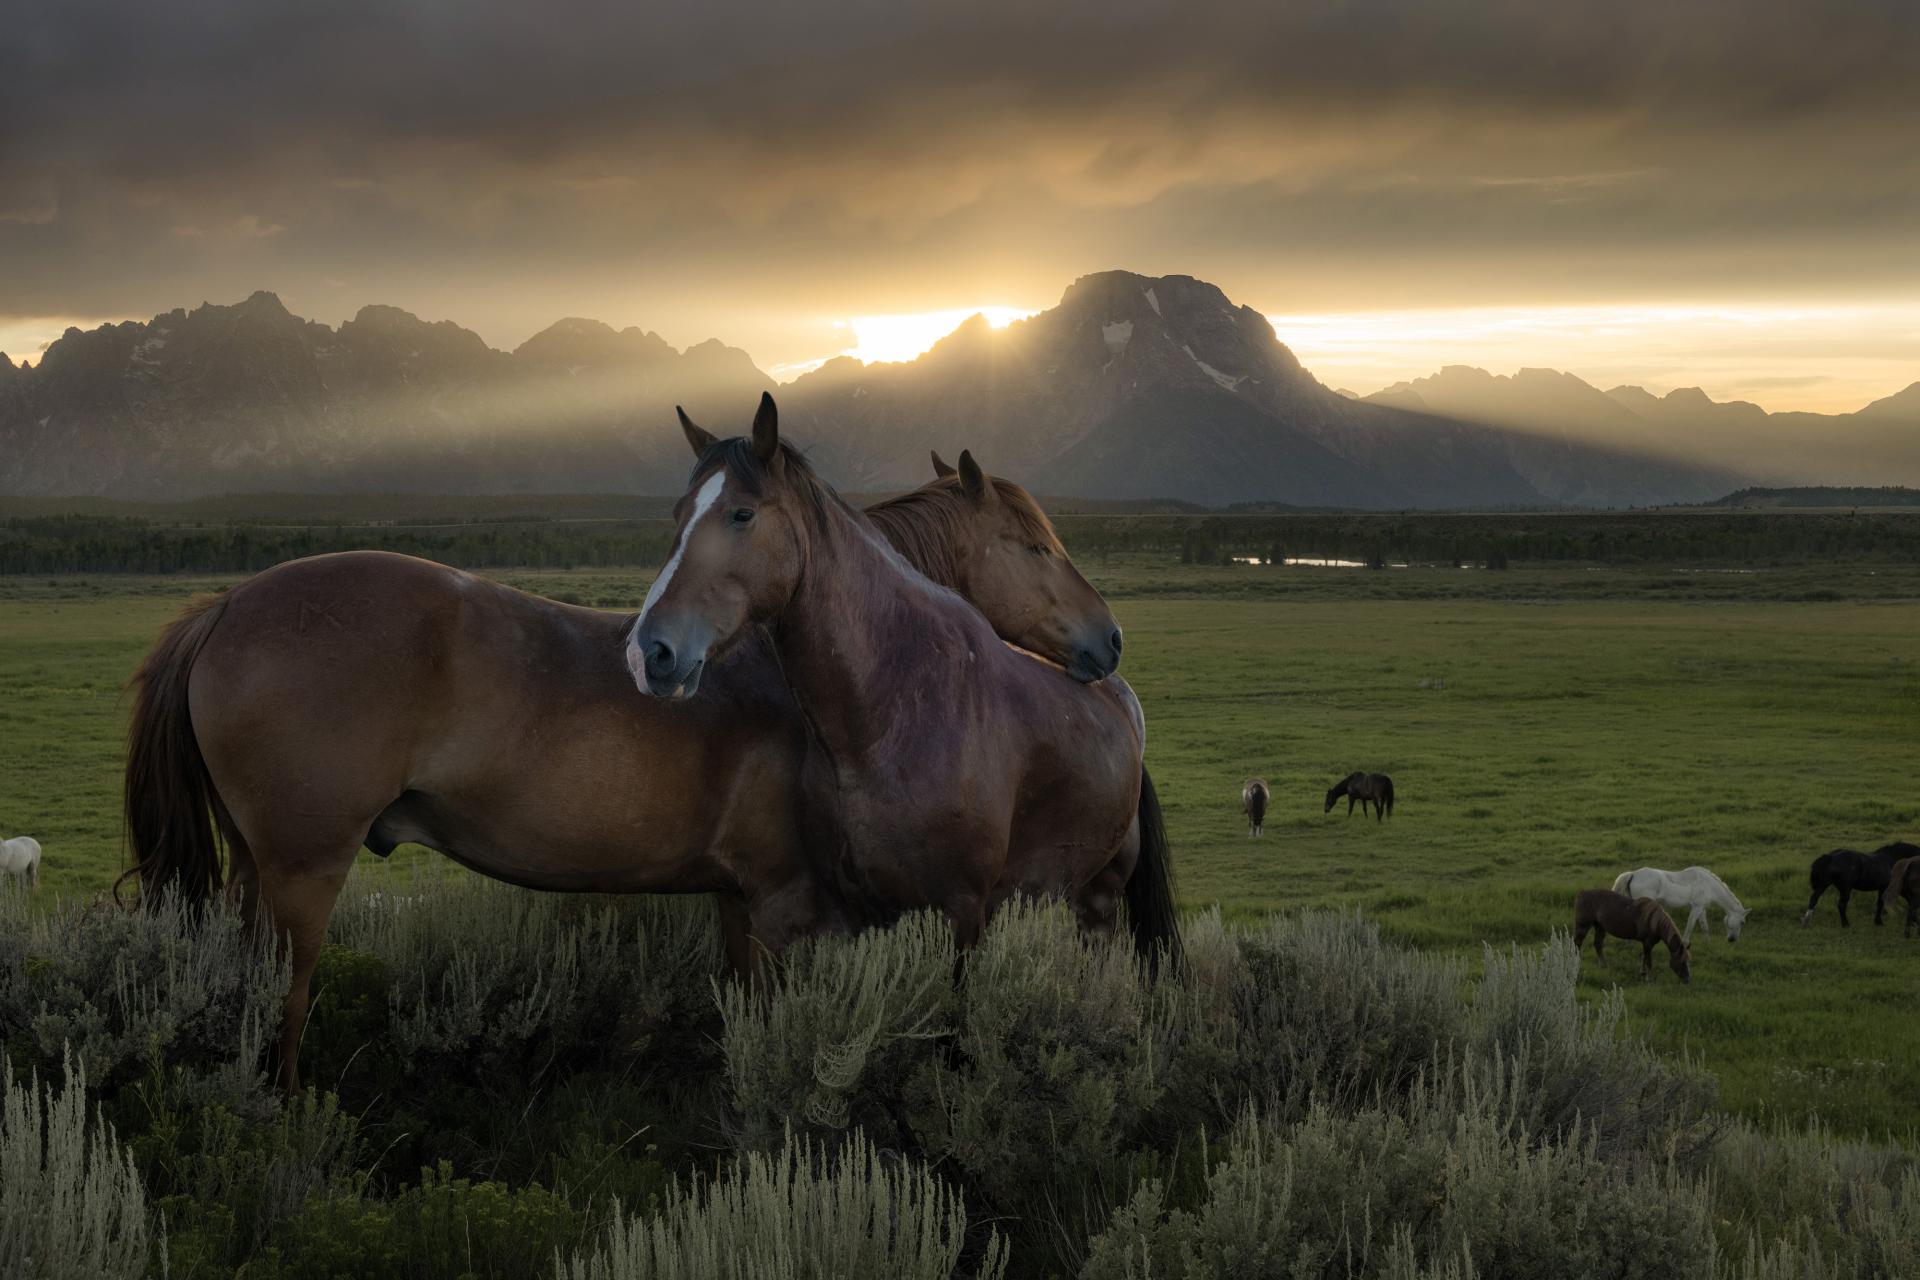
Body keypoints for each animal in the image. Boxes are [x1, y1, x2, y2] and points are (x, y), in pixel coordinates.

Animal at [123, 435, 1136, 1090]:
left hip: (257, 872)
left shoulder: (742, 898)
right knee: (286, 1011)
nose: (1109, 641)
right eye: (1035, 545)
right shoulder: (790, 904)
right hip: (303, 874)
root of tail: (228, 605)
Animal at [633, 395, 1167, 955]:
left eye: (742, 513)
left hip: (1098, 902)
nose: (651, 650)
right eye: (1037, 547)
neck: (892, 710)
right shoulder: (848, 910)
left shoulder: (961, 913)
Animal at [1612, 867, 1751, 948]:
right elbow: (1690, 925)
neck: (1708, 885)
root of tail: (1633, 874)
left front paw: (1707, 943)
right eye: (1742, 922)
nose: (1732, 940)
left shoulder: (1701, 908)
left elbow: (1704, 926)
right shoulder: (1696, 907)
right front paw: (1685, 944)